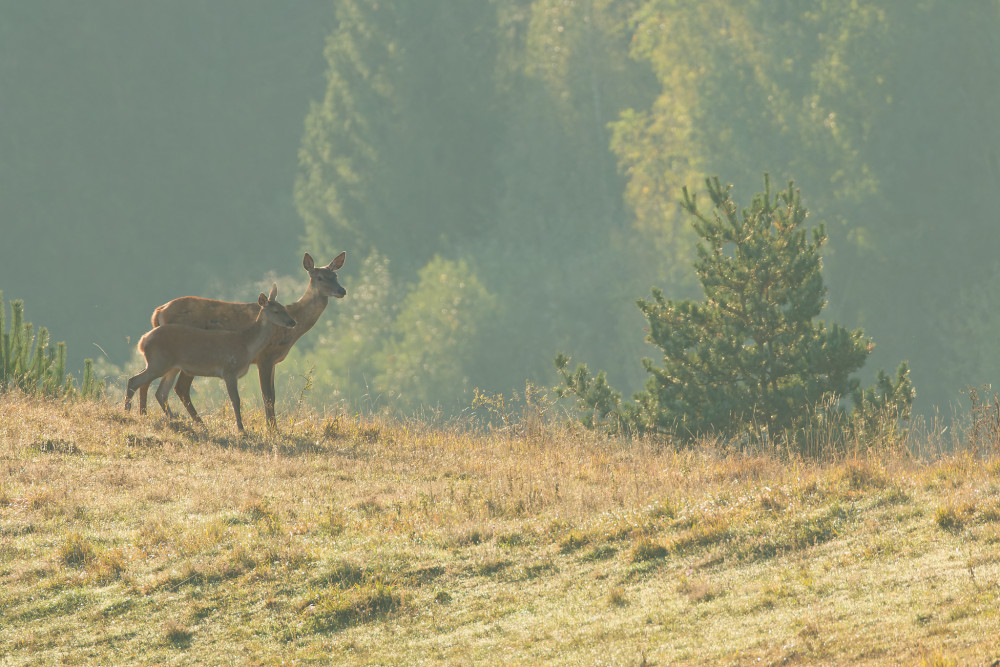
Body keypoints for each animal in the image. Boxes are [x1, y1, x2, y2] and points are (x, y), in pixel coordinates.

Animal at [125, 284, 296, 434]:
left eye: (284, 308)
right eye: (276, 311)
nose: (293, 322)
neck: (246, 345)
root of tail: (143, 341)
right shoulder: (229, 370)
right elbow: (236, 400)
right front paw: (241, 429)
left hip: (170, 366)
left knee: (160, 392)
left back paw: (174, 420)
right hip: (159, 362)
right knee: (135, 380)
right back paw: (127, 412)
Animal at [137, 250, 348, 428]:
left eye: (336, 276)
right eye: (319, 277)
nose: (342, 291)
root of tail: (159, 311)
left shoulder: (272, 361)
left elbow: (272, 395)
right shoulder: (265, 356)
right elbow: (268, 396)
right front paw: (272, 429)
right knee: (177, 387)